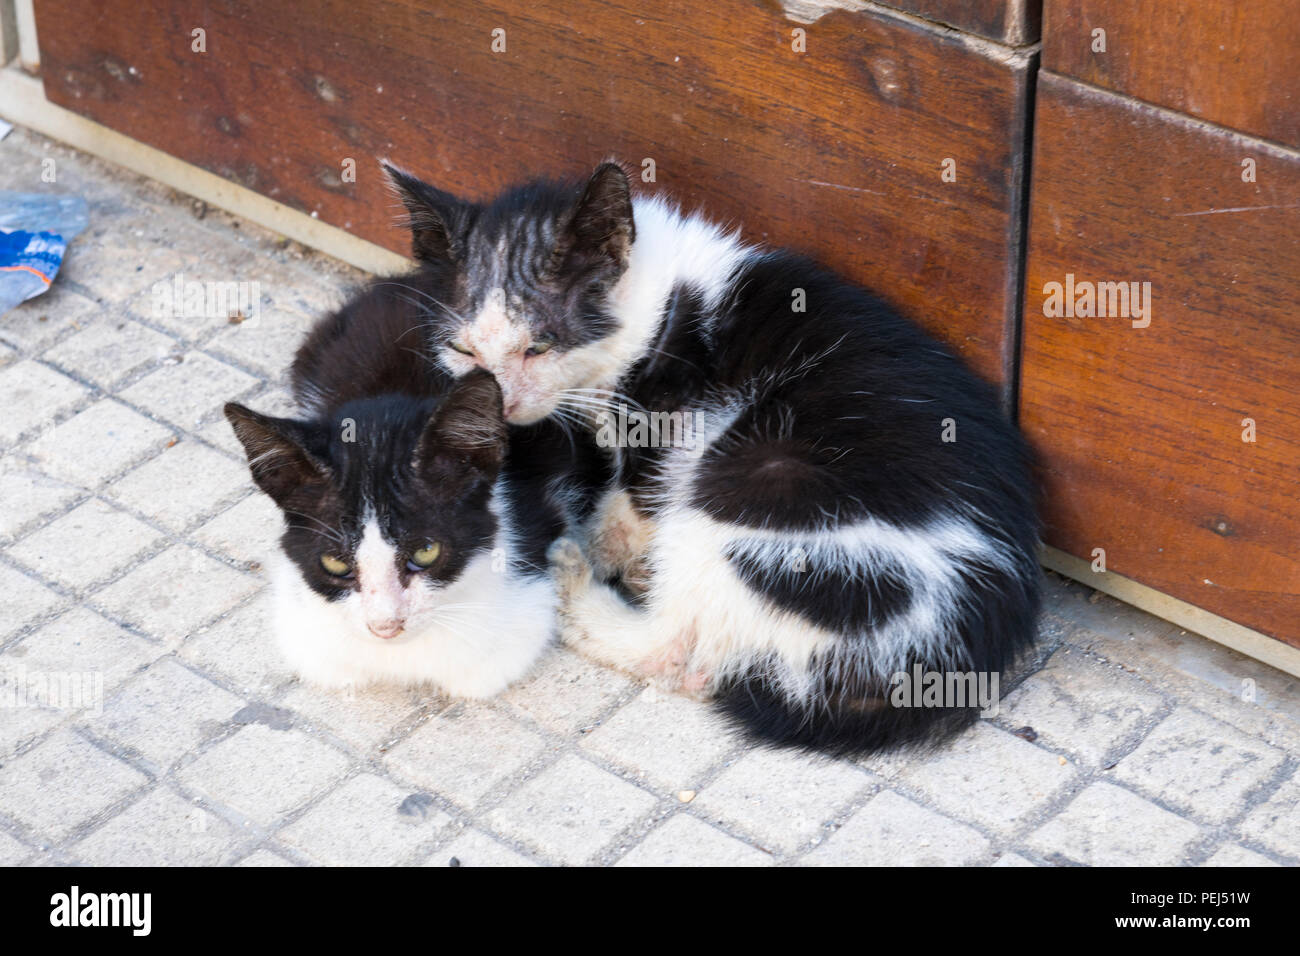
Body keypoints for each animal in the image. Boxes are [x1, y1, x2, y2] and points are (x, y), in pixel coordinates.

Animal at [379, 158, 1040, 754]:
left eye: (538, 347)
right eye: (465, 349)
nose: (502, 403)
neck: (651, 306)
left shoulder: (668, 419)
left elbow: (632, 503)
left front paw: (595, 543)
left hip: (751, 482)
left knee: (674, 651)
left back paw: (574, 581)